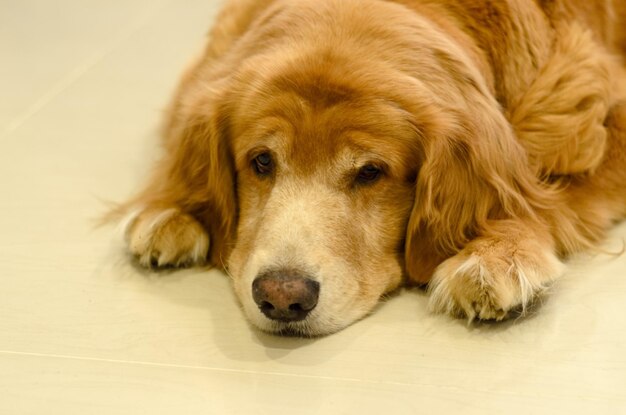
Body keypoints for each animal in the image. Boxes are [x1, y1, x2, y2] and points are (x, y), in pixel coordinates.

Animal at [117, 0, 624, 336]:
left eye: (370, 172)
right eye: (261, 160)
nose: (281, 297)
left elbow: (541, 200)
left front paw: (497, 255)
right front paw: (175, 208)